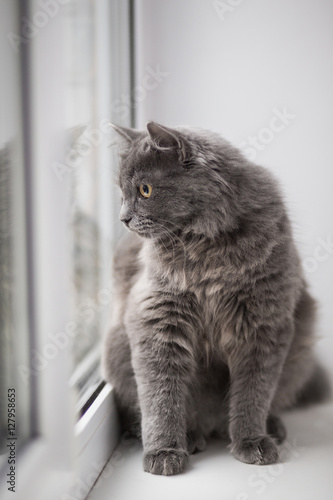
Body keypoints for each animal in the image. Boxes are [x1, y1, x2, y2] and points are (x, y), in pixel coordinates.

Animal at [102, 122, 330, 476]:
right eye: (122, 192)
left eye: (145, 190)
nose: (124, 218)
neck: (206, 250)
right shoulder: (156, 319)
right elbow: (160, 397)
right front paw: (164, 451)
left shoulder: (264, 324)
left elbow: (253, 393)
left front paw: (250, 440)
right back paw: (191, 435)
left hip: (300, 352)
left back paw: (269, 428)